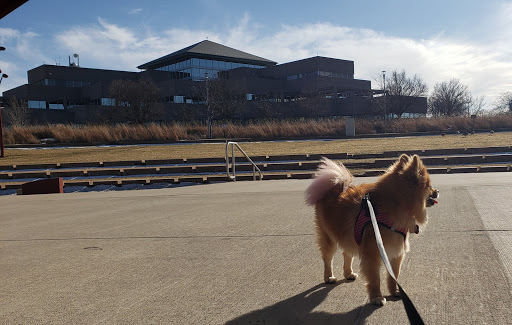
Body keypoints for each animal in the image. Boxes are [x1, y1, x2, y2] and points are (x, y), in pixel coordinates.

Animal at [304, 154, 440, 304]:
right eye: (429, 186)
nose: (437, 191)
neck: (391, 208)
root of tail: (333, 188)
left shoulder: (396, 252)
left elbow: (394, 275)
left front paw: (395, 291)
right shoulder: (373, 253)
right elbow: (375, 278)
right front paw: (376, 297)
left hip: (348, 236)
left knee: (347, 253)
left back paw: (348, 273)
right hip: (329, 237)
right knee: (328, 258)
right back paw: (329, 277)